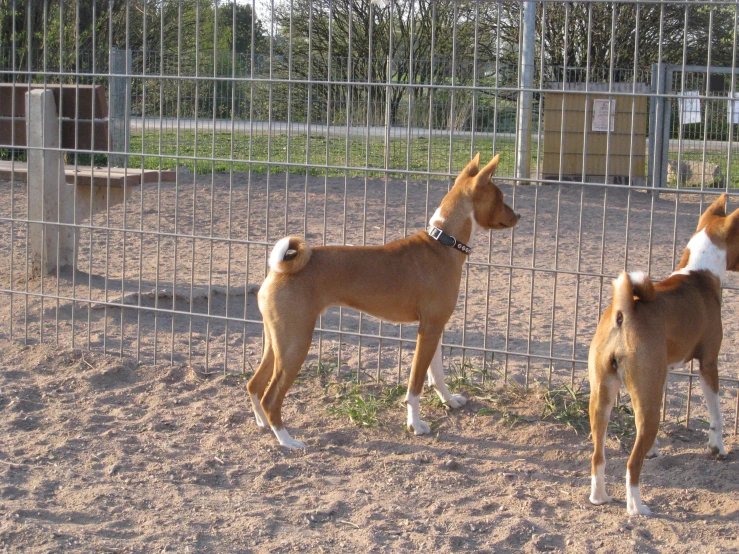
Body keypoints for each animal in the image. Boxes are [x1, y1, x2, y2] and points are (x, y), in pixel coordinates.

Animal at [249, 153, 520, 446]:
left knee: (254, 385)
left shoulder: (435, 327)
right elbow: (415, 386)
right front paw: (415, 425)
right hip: (296, 345)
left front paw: (449, 401)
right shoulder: (427, 330)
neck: (442, 244)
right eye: (500, 197)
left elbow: (436, 374)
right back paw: (287, 440)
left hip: (277, 341)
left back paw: (263, 425)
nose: (519, 215)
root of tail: (279, 269)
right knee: (271, 397)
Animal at [588, 193, 736, 512]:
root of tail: (625, 312)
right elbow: (716, 415)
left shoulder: (660, 375)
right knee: (631, 465)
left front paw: (653, 449)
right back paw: (637, 508)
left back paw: (600, 496)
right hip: (645, 404)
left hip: (604, 399)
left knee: (598, 457)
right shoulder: (708, 364)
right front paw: (718, 448)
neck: (698, 273)